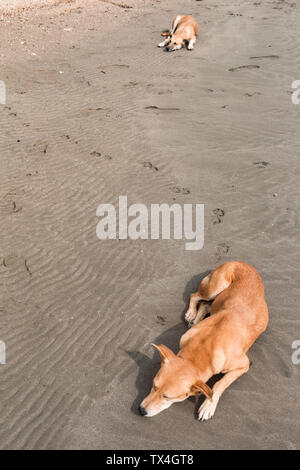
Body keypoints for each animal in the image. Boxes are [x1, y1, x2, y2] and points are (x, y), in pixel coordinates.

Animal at [139, 262, 268, 420]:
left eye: (166, 396)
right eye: (153, 385)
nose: (141, 410)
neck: (202, 348)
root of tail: (242, 263)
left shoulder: (243, 365)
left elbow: (220, 383)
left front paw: (208, 405)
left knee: (204, 303)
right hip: (214, 287)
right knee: (196, 297)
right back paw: (192, 314)